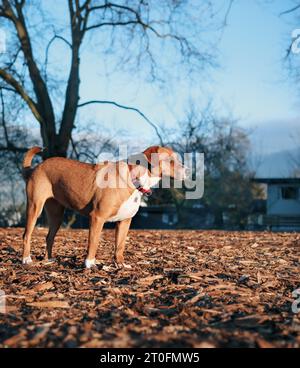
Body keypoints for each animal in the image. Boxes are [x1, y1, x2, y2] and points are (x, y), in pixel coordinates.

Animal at [21, 145, 186, 268]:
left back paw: (48, 260)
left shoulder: (125, 221)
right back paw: (26, 259)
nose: (187, 170)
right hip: (34, 207)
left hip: (56, 215)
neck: (133, 178)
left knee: (49, 237)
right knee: (27, 235)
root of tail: (37, 167)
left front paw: (120, 264)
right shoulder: (97, 217)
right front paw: (89, 263)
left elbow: (120, 245)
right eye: (170, 160)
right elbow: (93, 242)